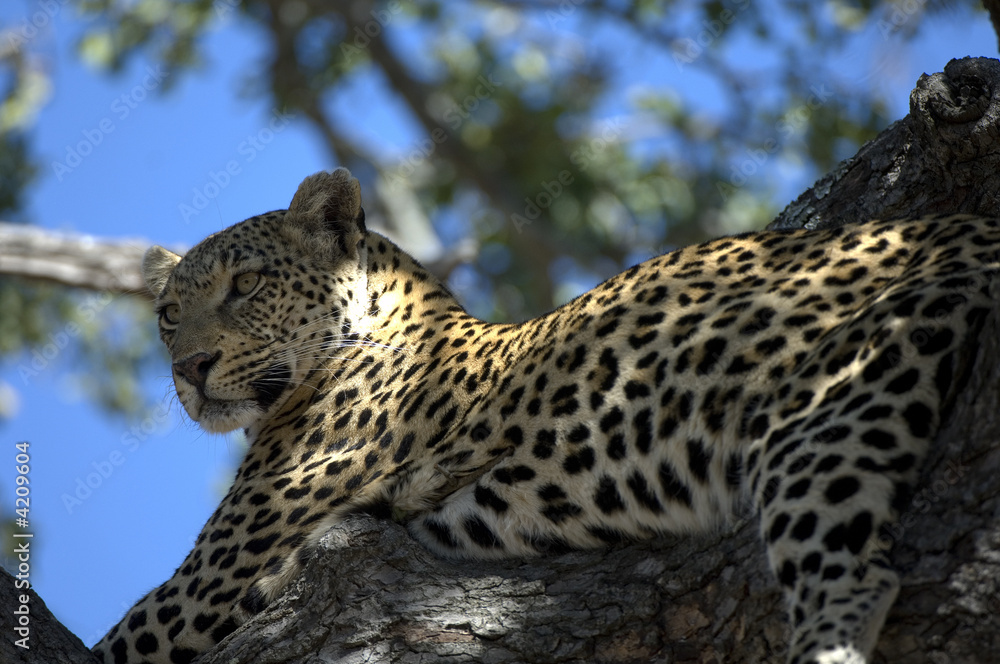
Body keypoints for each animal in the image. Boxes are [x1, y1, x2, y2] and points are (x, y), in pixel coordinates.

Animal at [92, 167, 1000, 664]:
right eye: (168, 315)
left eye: (246, 285)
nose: (188, 369)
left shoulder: (212, 581)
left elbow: (119, 642)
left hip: (826, 402)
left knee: (852, 577)